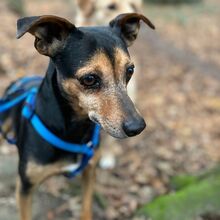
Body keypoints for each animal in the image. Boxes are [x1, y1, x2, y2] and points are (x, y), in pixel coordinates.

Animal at [0, 13, 155, 220]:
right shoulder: (25, 186)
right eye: (89, 79)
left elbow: (87, 207)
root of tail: (20, 80)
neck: (73, 130)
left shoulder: (89, 171)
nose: (137, 127)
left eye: (130, 71)